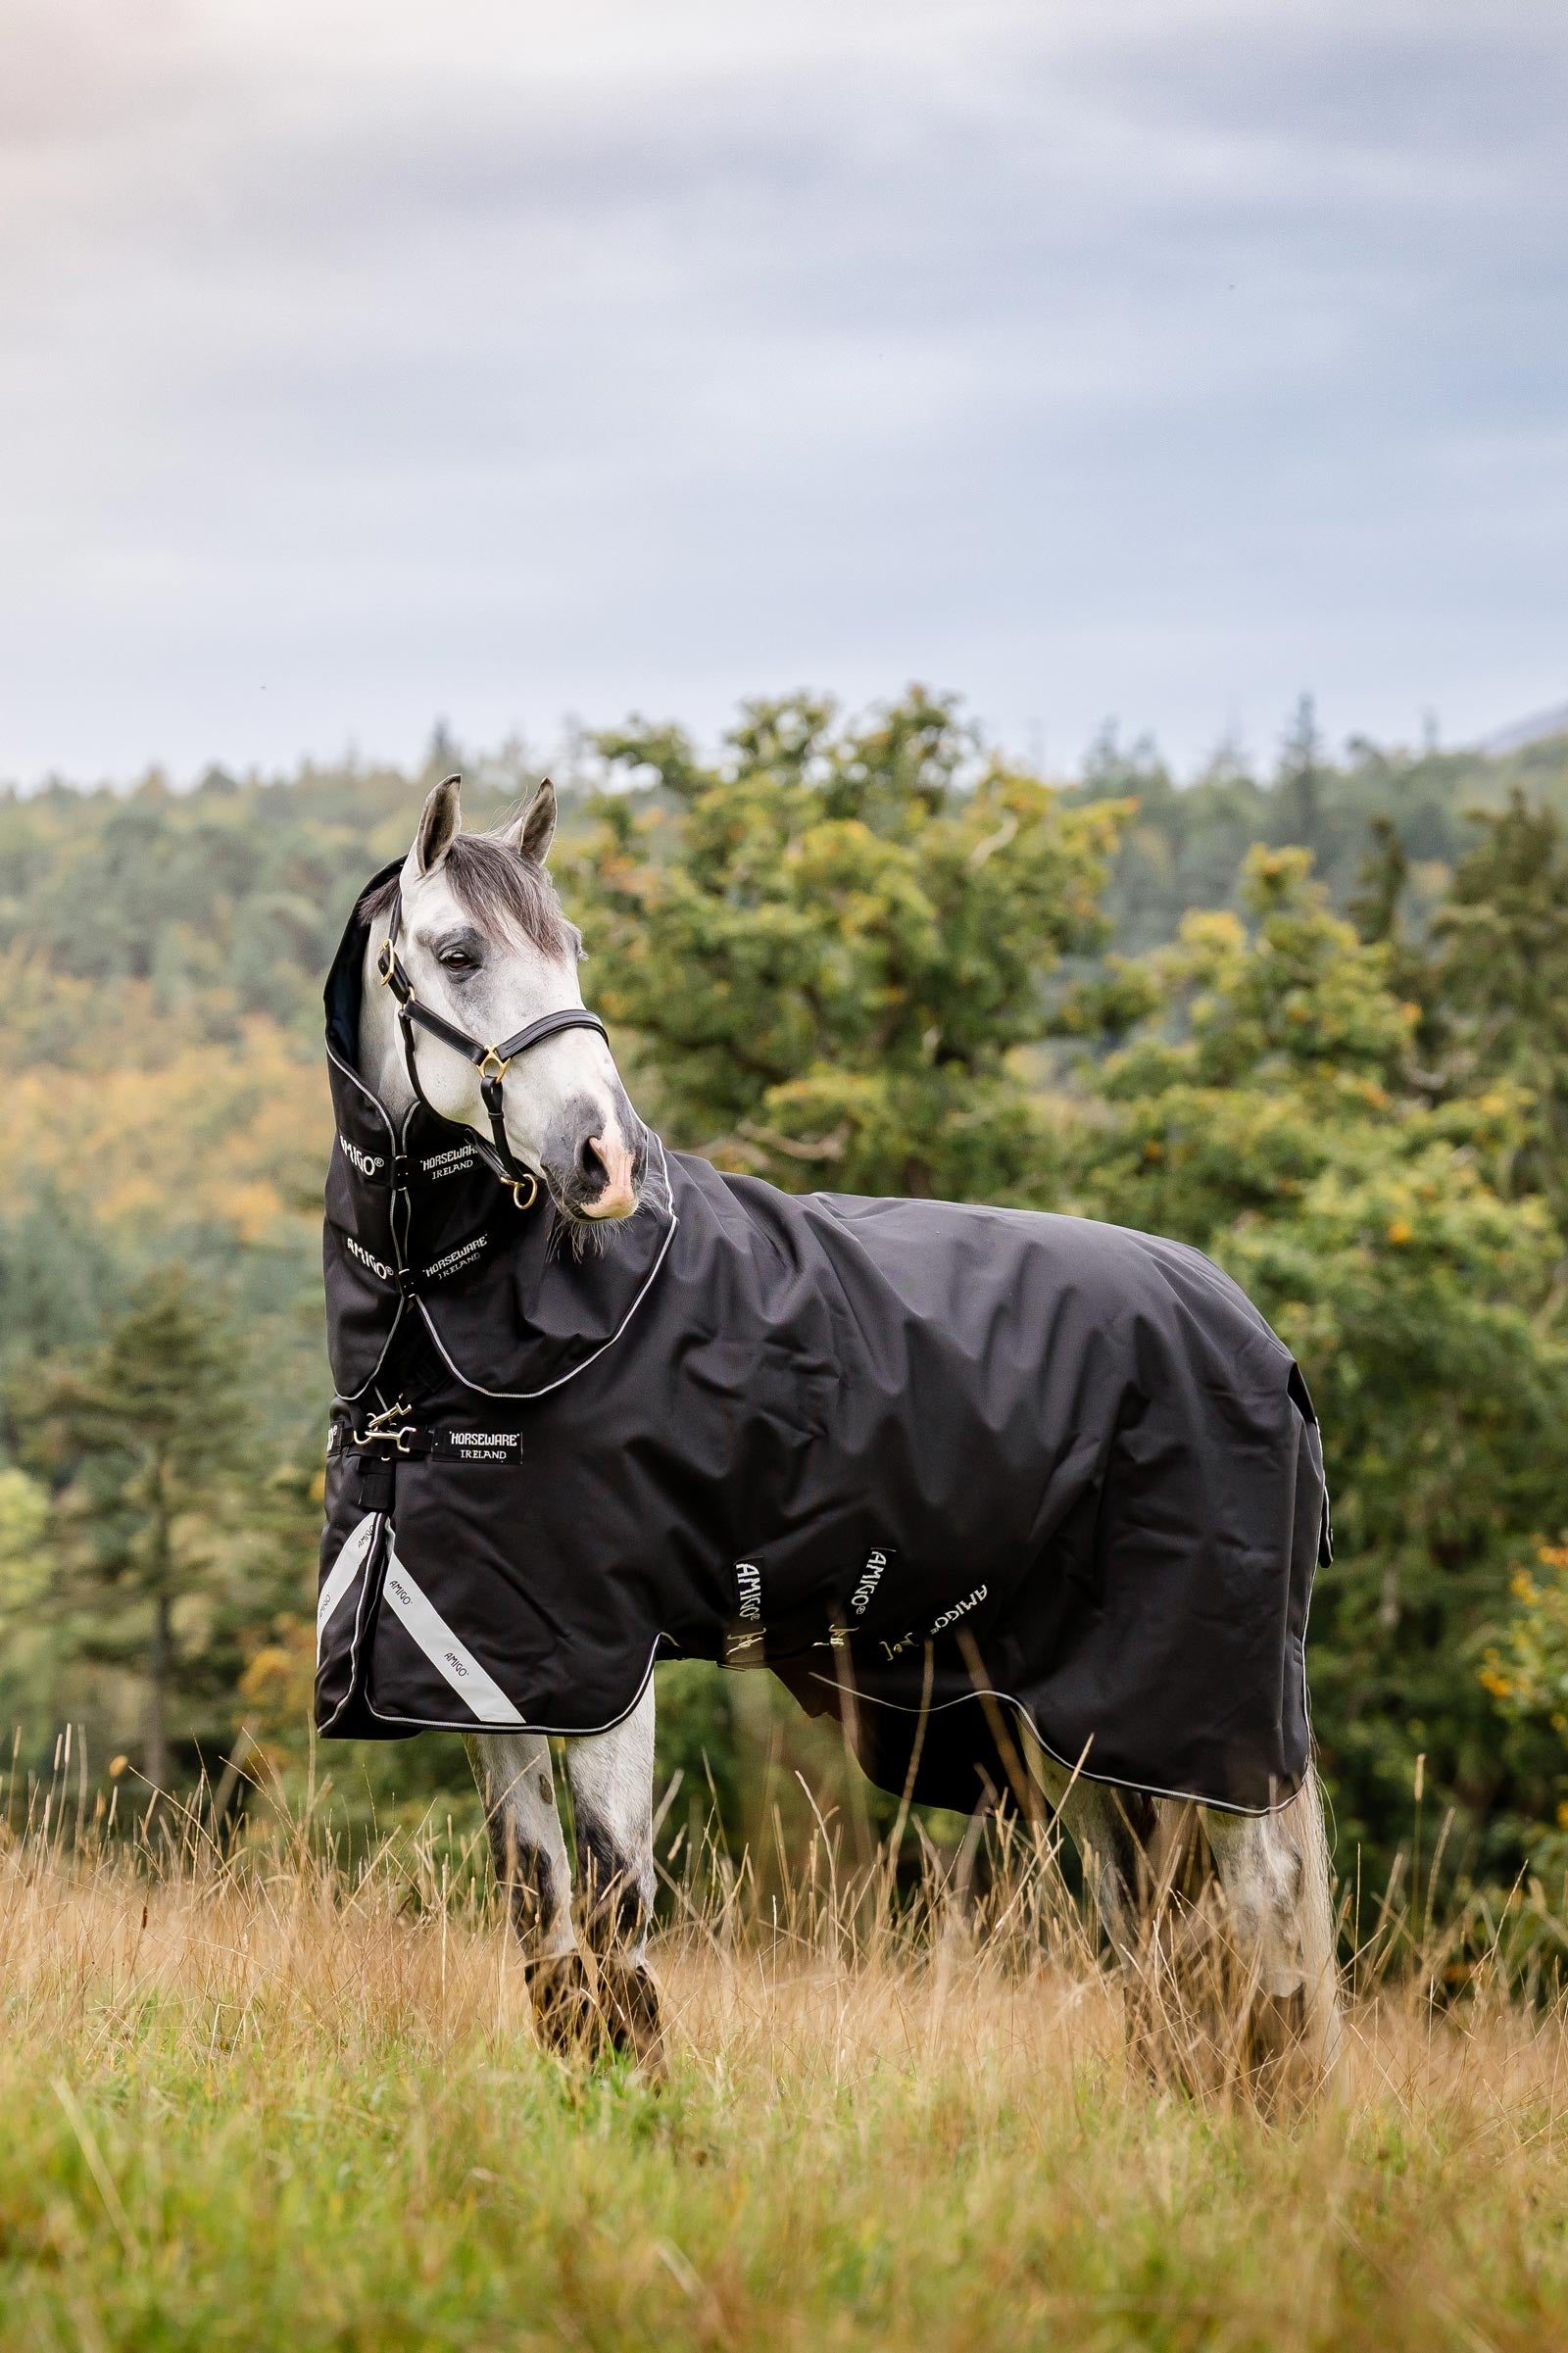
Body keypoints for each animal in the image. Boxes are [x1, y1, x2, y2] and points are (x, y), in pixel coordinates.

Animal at [323, 772, 1340, 2087]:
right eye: (461, 953)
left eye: (572, 947)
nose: (605, 1160)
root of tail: (1258, 1336)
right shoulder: (488, 1675)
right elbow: (543, 1930)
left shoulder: (601, 1666)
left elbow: (613, 1920)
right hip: (1077, 1736)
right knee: (1158, 1954)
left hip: (1199, 1721)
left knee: (1267, 1945)